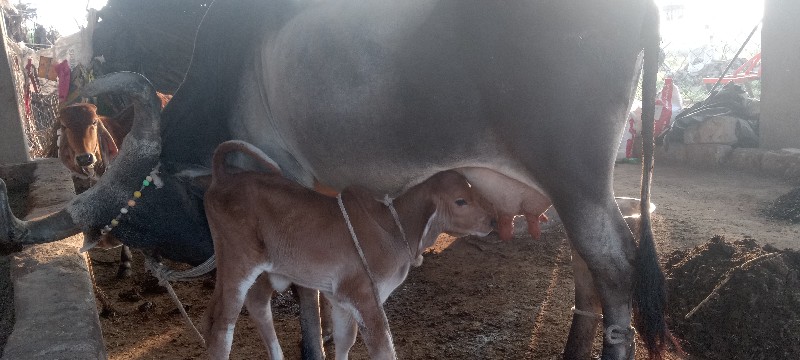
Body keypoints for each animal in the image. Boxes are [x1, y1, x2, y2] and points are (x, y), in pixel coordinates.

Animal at [202, 141, 494, 360]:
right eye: (461, 201)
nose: (491, 222)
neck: (394, 229)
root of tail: (222, 179)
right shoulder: (364, 296)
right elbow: (383, 350)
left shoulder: (340, 297)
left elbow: (345, 340)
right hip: (238, 262)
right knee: (220, 325)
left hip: (262, 270)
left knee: (256, 304)